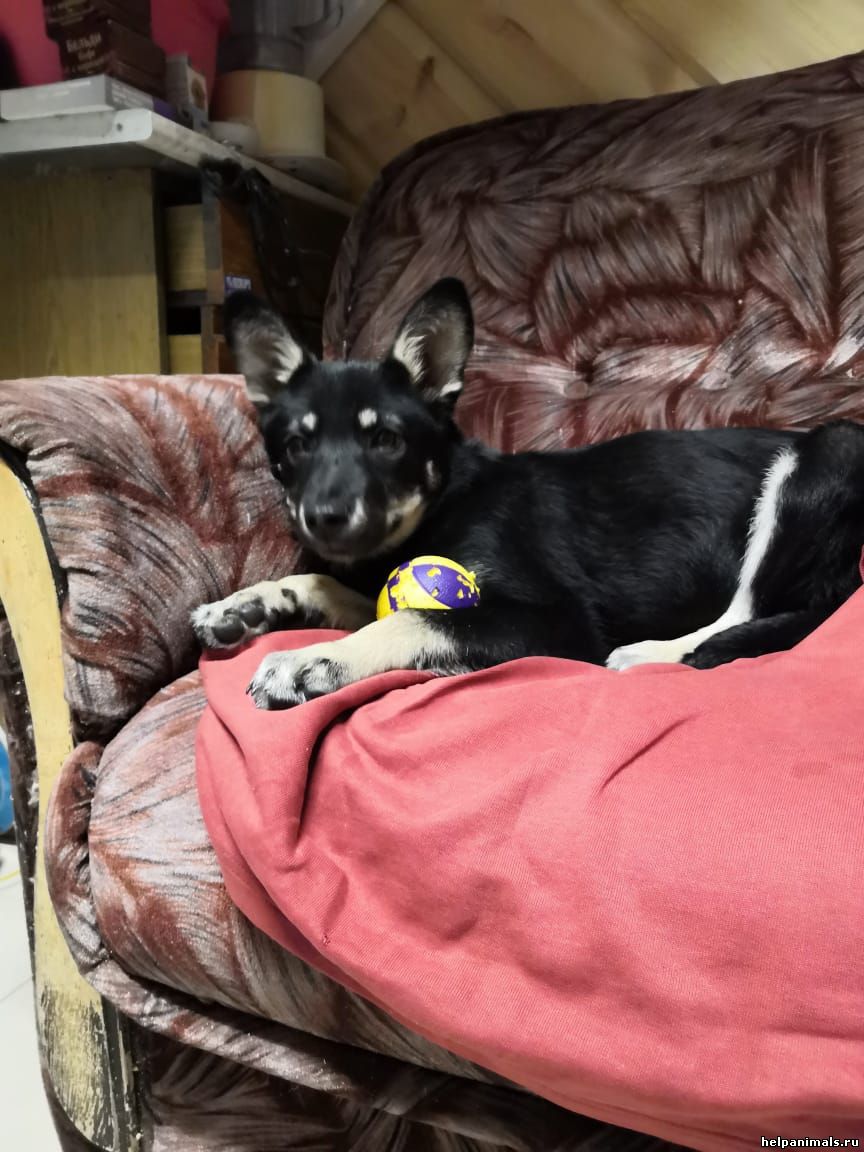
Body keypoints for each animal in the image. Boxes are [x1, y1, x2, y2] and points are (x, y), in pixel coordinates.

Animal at [191, 278, 864, 709]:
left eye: (385, 440)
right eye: (296, 447)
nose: (324, 518)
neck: (446, 498)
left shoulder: (558, 619)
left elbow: (415, 616)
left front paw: (312, 660)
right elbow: (334, 585)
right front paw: (247, 605)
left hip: (828, 454)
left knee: (744, 612)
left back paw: (652, 654)